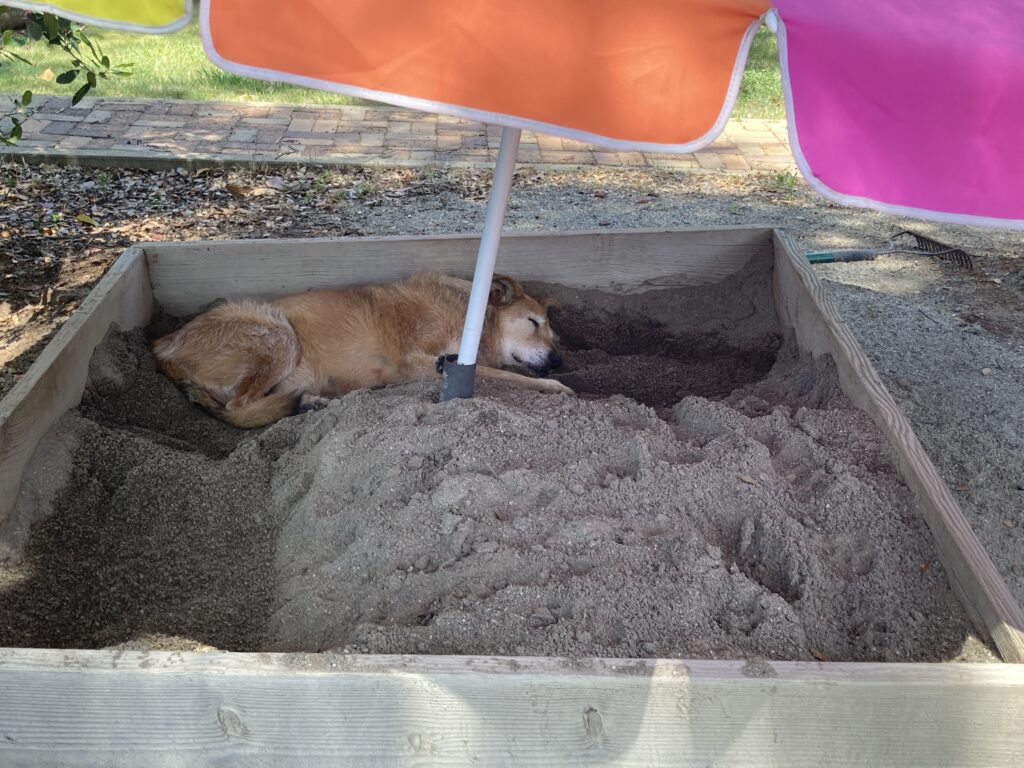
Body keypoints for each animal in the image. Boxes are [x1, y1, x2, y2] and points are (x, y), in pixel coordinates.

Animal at [152, 270, 573, 430]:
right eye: (534, 323)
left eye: (554, 334)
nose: (558, 359)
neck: (473, 316)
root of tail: (161, 347)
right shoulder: (430, 362)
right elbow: (506, 377)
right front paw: (559, 389)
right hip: (278, 334)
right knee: (238, 406)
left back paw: (311, 402)